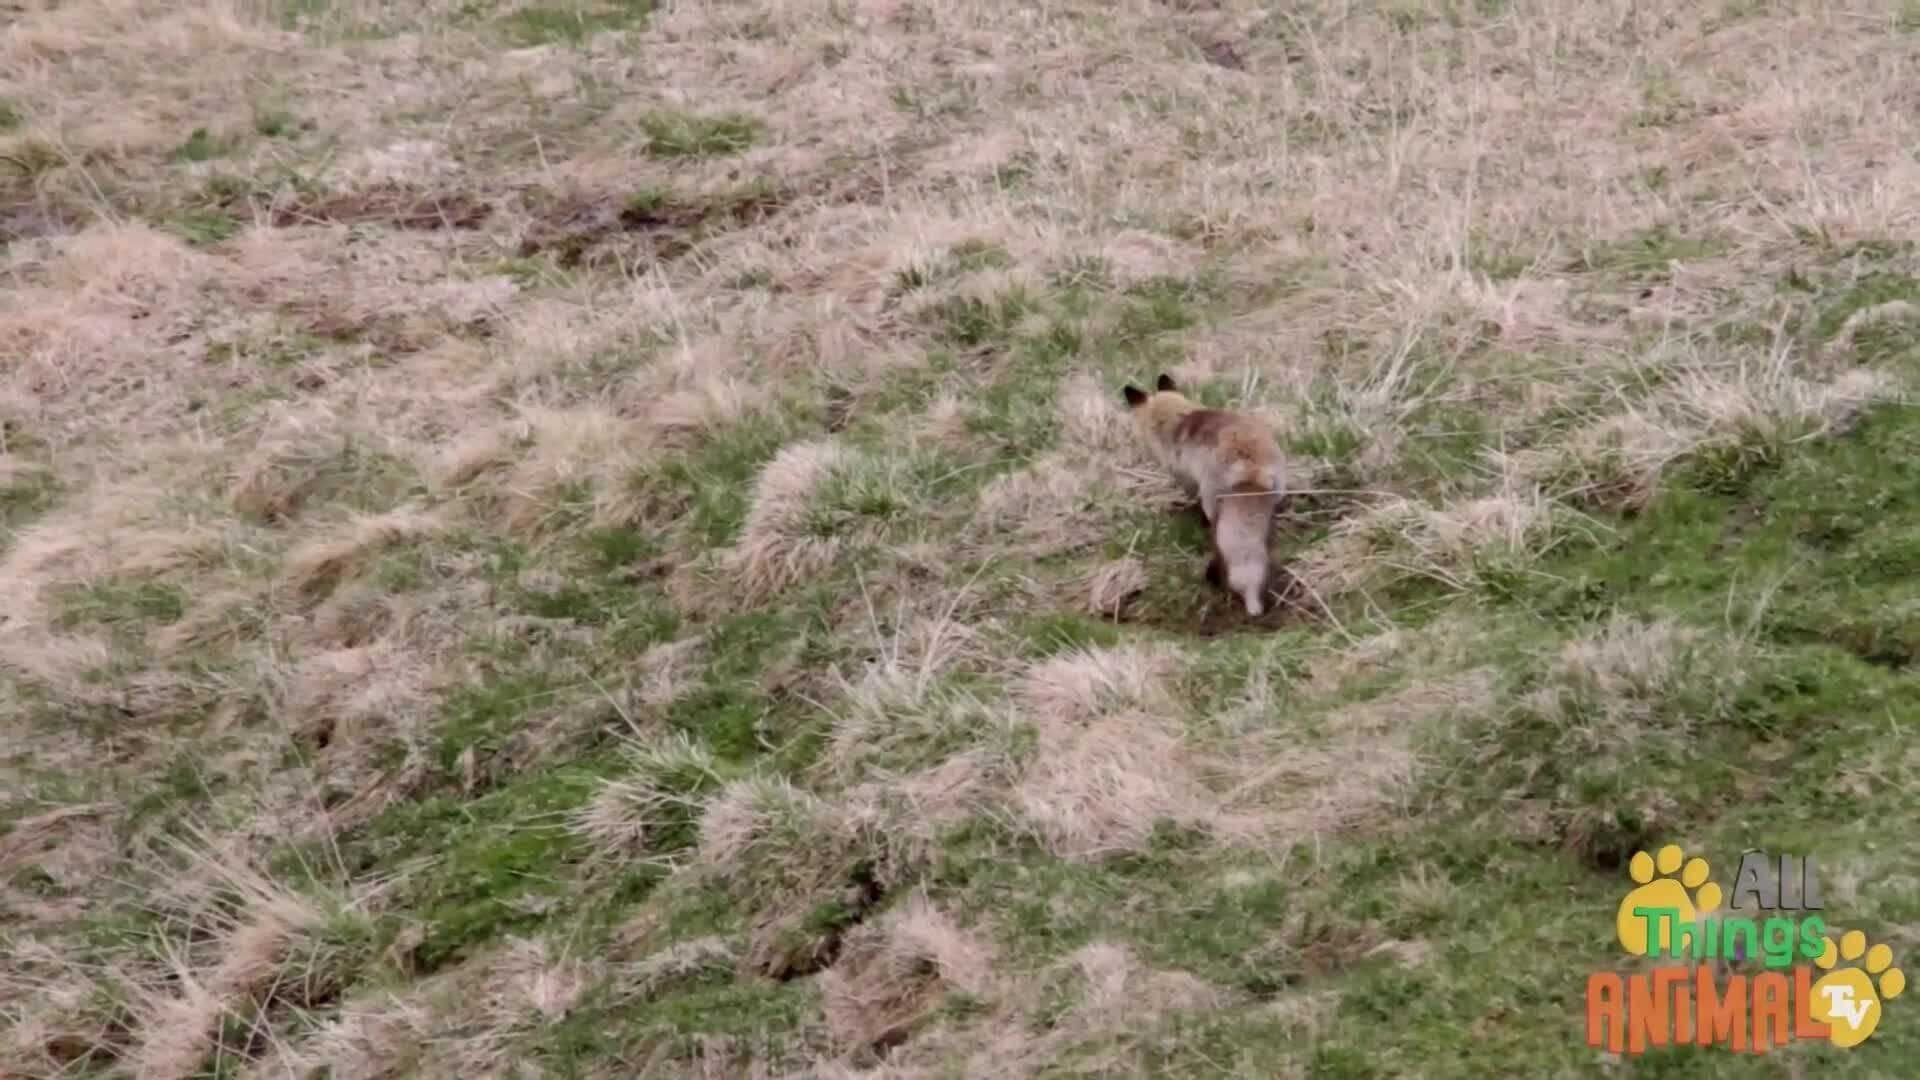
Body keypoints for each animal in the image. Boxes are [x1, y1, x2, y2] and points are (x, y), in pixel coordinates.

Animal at [1122, 372, 1285, 617]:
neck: (1177, 421)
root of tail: (1249, 461)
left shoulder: (1185, 478)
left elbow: (1190, 496)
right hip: (1266, 505)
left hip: (1216, 505)